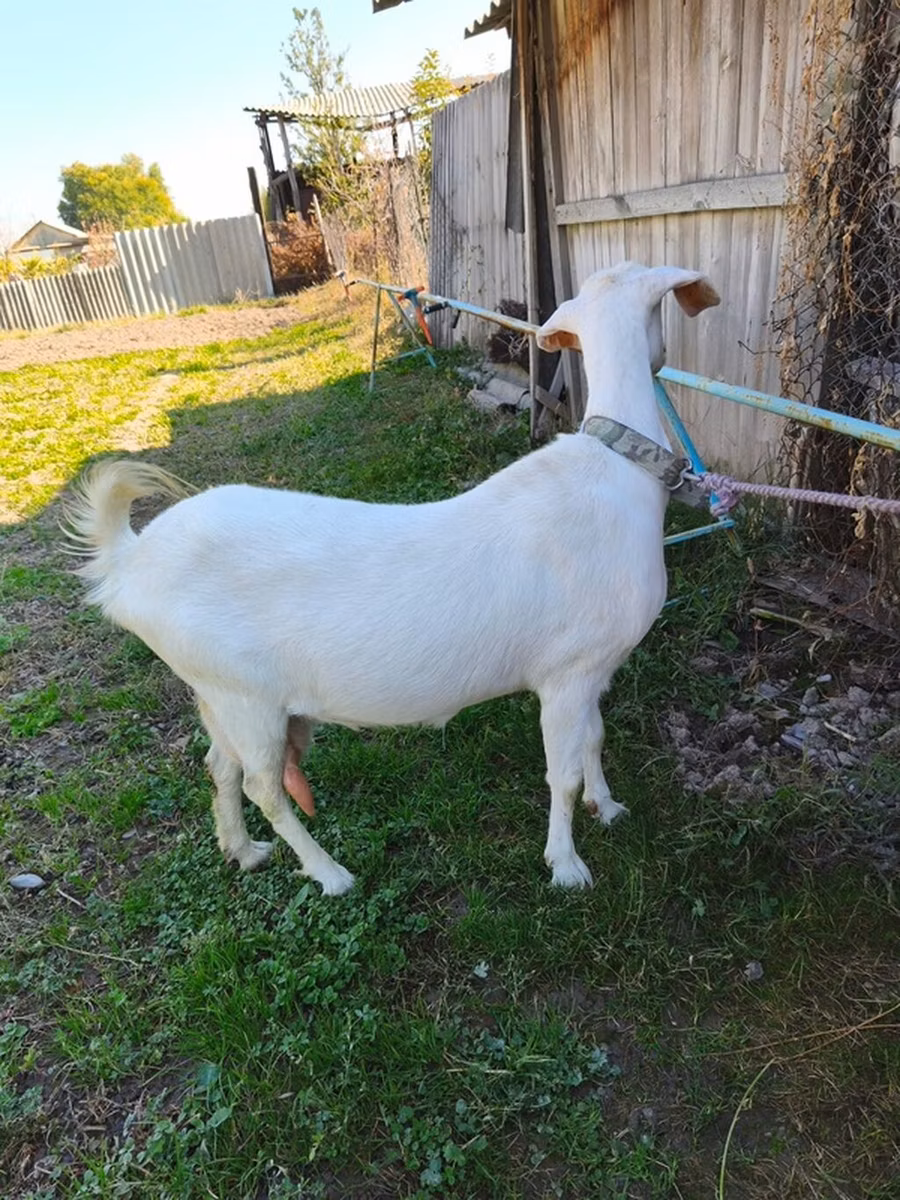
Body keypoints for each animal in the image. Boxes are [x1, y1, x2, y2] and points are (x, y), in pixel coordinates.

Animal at [64, 263, 719, 895]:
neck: (617, 473)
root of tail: (130, 561)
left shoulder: (595, 670)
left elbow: (594, 741)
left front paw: (607, 808)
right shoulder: (567, 671)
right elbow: (563, 772)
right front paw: (566, 867)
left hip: (215, 693)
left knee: (219, 766)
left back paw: (244, 851)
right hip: (244, 695)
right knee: (263, 787)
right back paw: (330, 874)